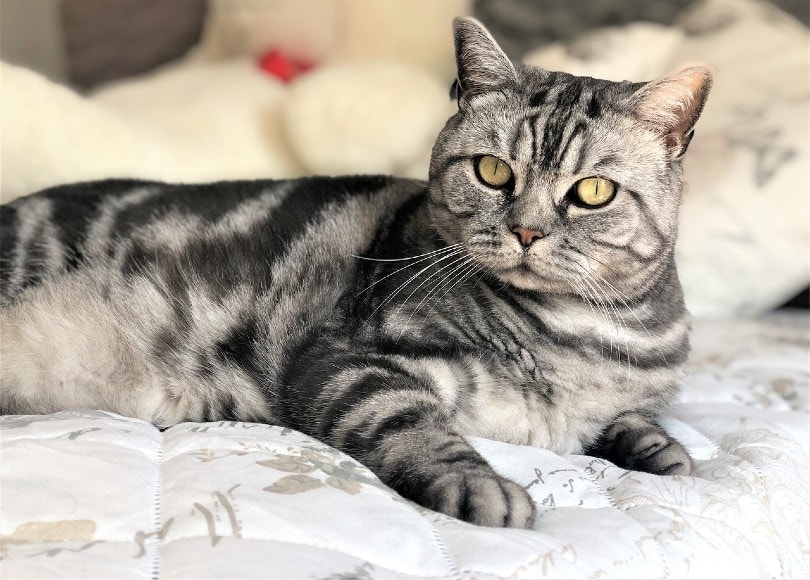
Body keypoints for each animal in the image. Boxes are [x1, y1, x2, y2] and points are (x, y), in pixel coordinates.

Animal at [0, 17, 708, 532]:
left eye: (592, 191)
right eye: (492, 172)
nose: (527, 230)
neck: (574, 333)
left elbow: (638, 423)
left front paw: (665, 454)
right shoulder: (352, 357)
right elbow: (418, 429)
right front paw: (482, 487)